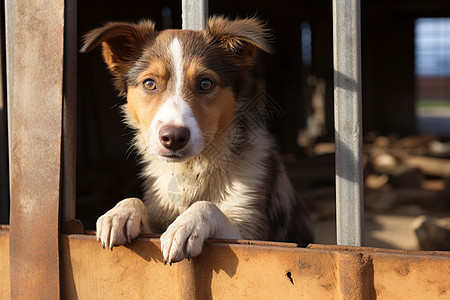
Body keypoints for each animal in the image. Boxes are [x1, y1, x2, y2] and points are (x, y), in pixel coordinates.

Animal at [81, 16, 312, 264]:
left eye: (205, 84)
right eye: (149, 84)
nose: (173, 137)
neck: (192, 168)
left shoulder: (254, 234)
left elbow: (209, 206)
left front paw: (187, 224)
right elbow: (135, 201)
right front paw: (120, 212)